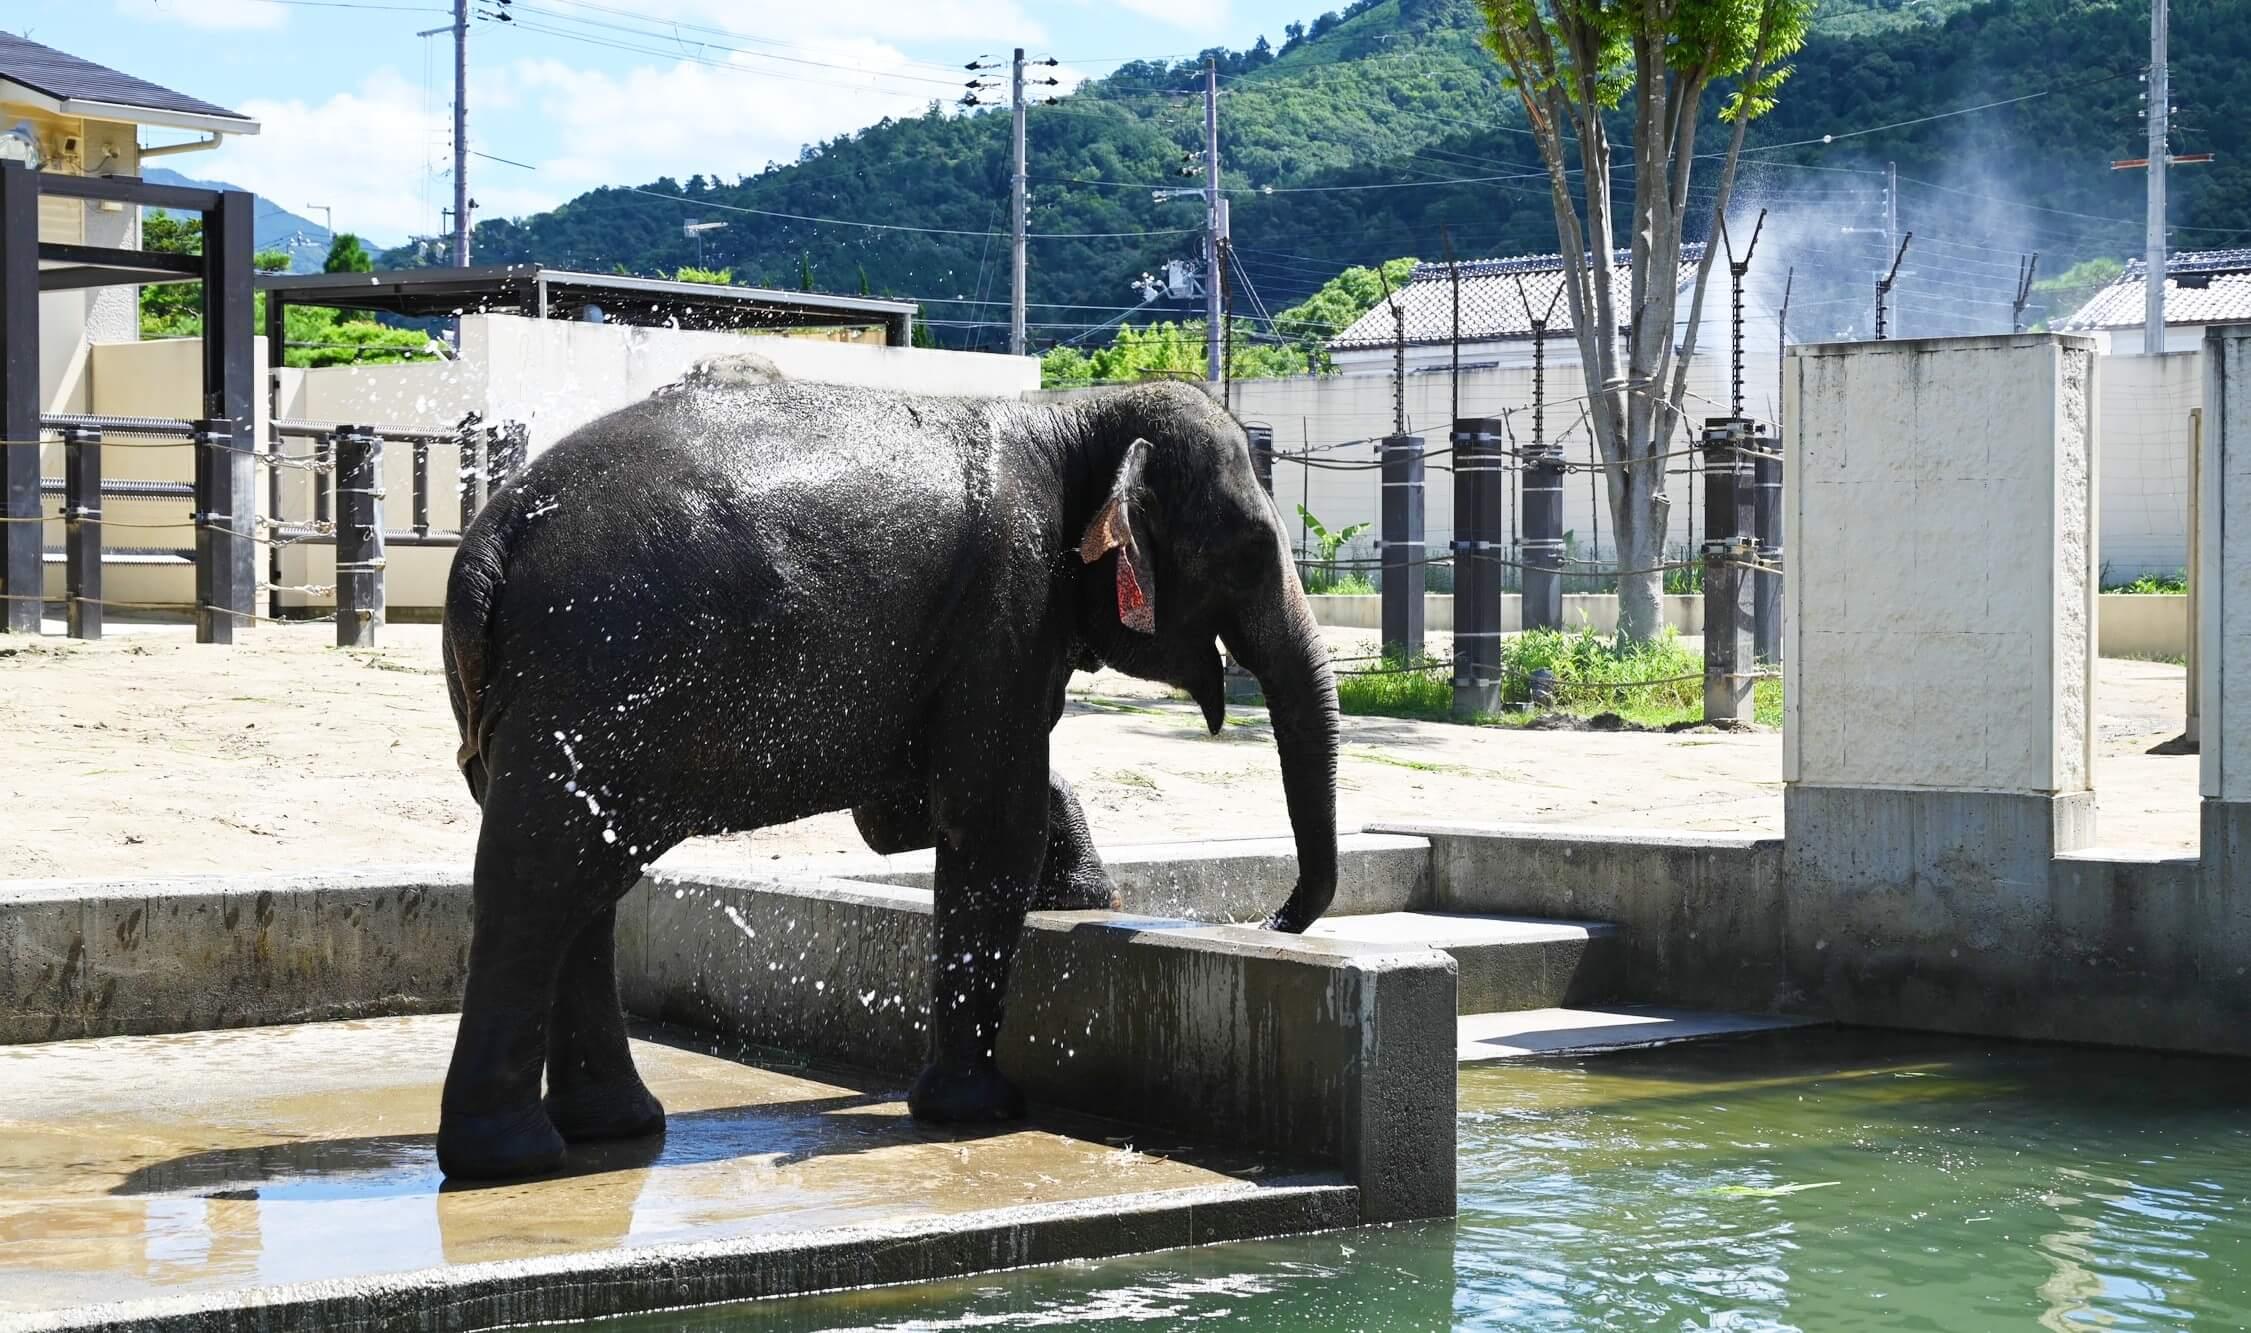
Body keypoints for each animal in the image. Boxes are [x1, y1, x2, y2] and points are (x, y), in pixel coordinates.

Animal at [441, 373, 1341, 1179]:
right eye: (1251, 551)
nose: (1274, 920)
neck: (1075, 415)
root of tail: (492, 537)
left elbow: (904, 812)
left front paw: (1080, 896)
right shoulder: (1007, 606)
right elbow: (991, 819)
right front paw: (980, 1111)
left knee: (585, 882)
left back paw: (616, 1127)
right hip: (596, 671)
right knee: (543, 881)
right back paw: (511, 1160)